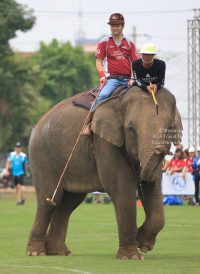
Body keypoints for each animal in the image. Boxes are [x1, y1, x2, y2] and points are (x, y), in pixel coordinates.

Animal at [26, 86, 183, 260]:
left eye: (170, 128)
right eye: (131, 129)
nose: (162, 150)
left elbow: (153, 186)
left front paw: (142, 243)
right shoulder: (104, 142)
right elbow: (121, 189)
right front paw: (131, 256)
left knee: (69, 202)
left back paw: (60, 253)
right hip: (41, 153)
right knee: (49, 200)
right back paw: (36, 252)